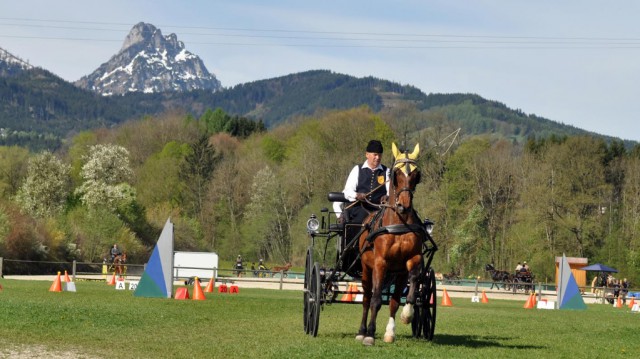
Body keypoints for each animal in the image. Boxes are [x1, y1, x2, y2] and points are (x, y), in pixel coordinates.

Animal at [356, 143, 424, 346]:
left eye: (416, 174)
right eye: (396, 174)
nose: (404, 206)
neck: (398, 223)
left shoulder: (410, 261)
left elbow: (401, 296)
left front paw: (404, 318)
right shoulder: (380, 263)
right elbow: (376, 299)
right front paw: (370, 334)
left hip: (396, 273)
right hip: (366, 268)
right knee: (367, 298)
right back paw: (361, 331)